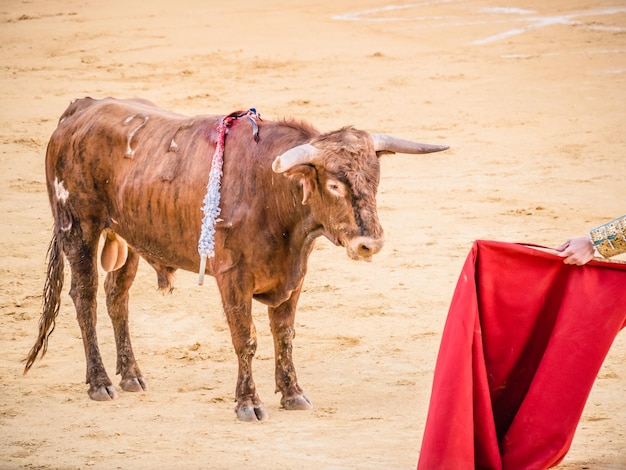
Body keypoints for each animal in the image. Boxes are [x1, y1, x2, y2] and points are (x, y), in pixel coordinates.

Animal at [23, 96, 444, 422]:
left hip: (126, 235)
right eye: (334, 184)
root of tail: (82, 108)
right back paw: (100, 382)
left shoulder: (294, 277)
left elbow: (284, 335)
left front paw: (292, 393)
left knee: (117, 297)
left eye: (375, 180)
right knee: (85, 298)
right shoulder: (232, 278)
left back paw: (130, 375)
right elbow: (247, 338)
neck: (272, 192)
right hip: (78, 227)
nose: (370, 244)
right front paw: (248, 403)